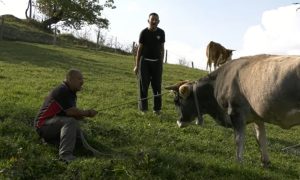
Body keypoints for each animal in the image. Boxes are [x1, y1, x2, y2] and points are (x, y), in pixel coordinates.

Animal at [166, 54, 300, 167]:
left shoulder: (236, 112)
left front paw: (239, 162)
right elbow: (260, 138)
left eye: (176, 101)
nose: (178, 122)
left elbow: (238, 139)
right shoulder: (257, 116)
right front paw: (265, 162)